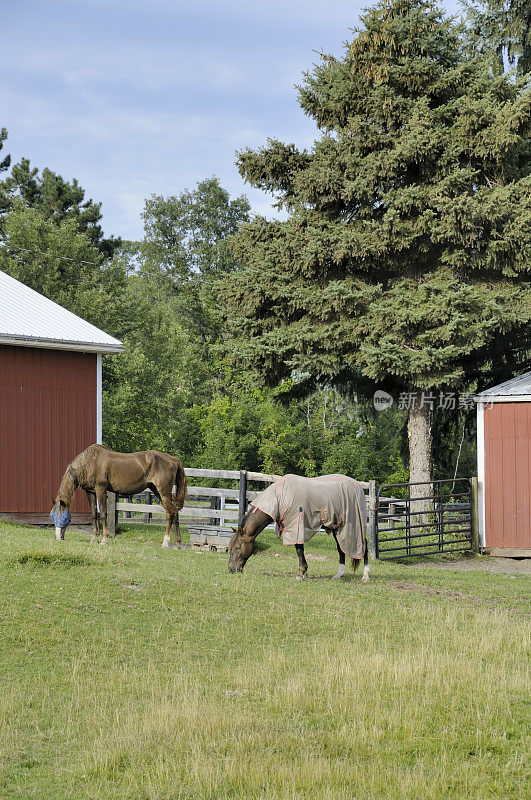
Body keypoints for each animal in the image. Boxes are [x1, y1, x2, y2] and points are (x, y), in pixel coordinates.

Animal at [50, 444, 187, 552]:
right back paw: (177, 544)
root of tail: (172, 459)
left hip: (164, 491)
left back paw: (165, 542)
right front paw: (94, 538)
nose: (57, 537)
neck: (90, 462)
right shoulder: (90, 492)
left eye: (65, 517)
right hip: (156, 490)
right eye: (52, 516)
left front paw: (104, 540)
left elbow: (103, 513)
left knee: (170, 514)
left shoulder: (101, 490)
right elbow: (94, 514)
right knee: (175, 513)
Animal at [229, 476, 370, 580]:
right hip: (338, 528)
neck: (280, 497)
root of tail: (359, 487)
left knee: (363, 545)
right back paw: (339, 575)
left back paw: (365, 576)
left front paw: (301, 574)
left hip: (354, 526)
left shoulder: (296, 526)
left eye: (237, 547)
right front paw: (304, 573)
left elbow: (299, 550)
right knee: (341, 548)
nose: (231, 569)